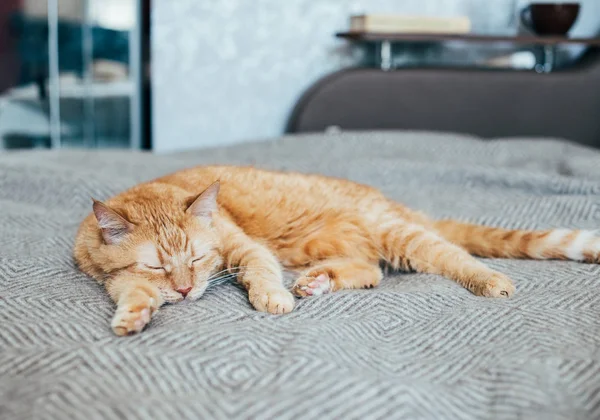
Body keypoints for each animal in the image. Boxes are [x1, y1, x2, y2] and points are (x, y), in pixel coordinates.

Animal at [74, 164, 600, 334]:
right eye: (157, 266)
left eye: (198, 258)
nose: (184, 291)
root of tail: (392, 203)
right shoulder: (117, 279)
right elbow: (133, 293)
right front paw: (134, 316)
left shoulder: (246, 247)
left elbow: (260, 271)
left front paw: (271, 296)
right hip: (339, 244)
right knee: (371, 271)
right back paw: (319, 281)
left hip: (397, 235)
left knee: (451, 255)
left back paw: (491, 280)